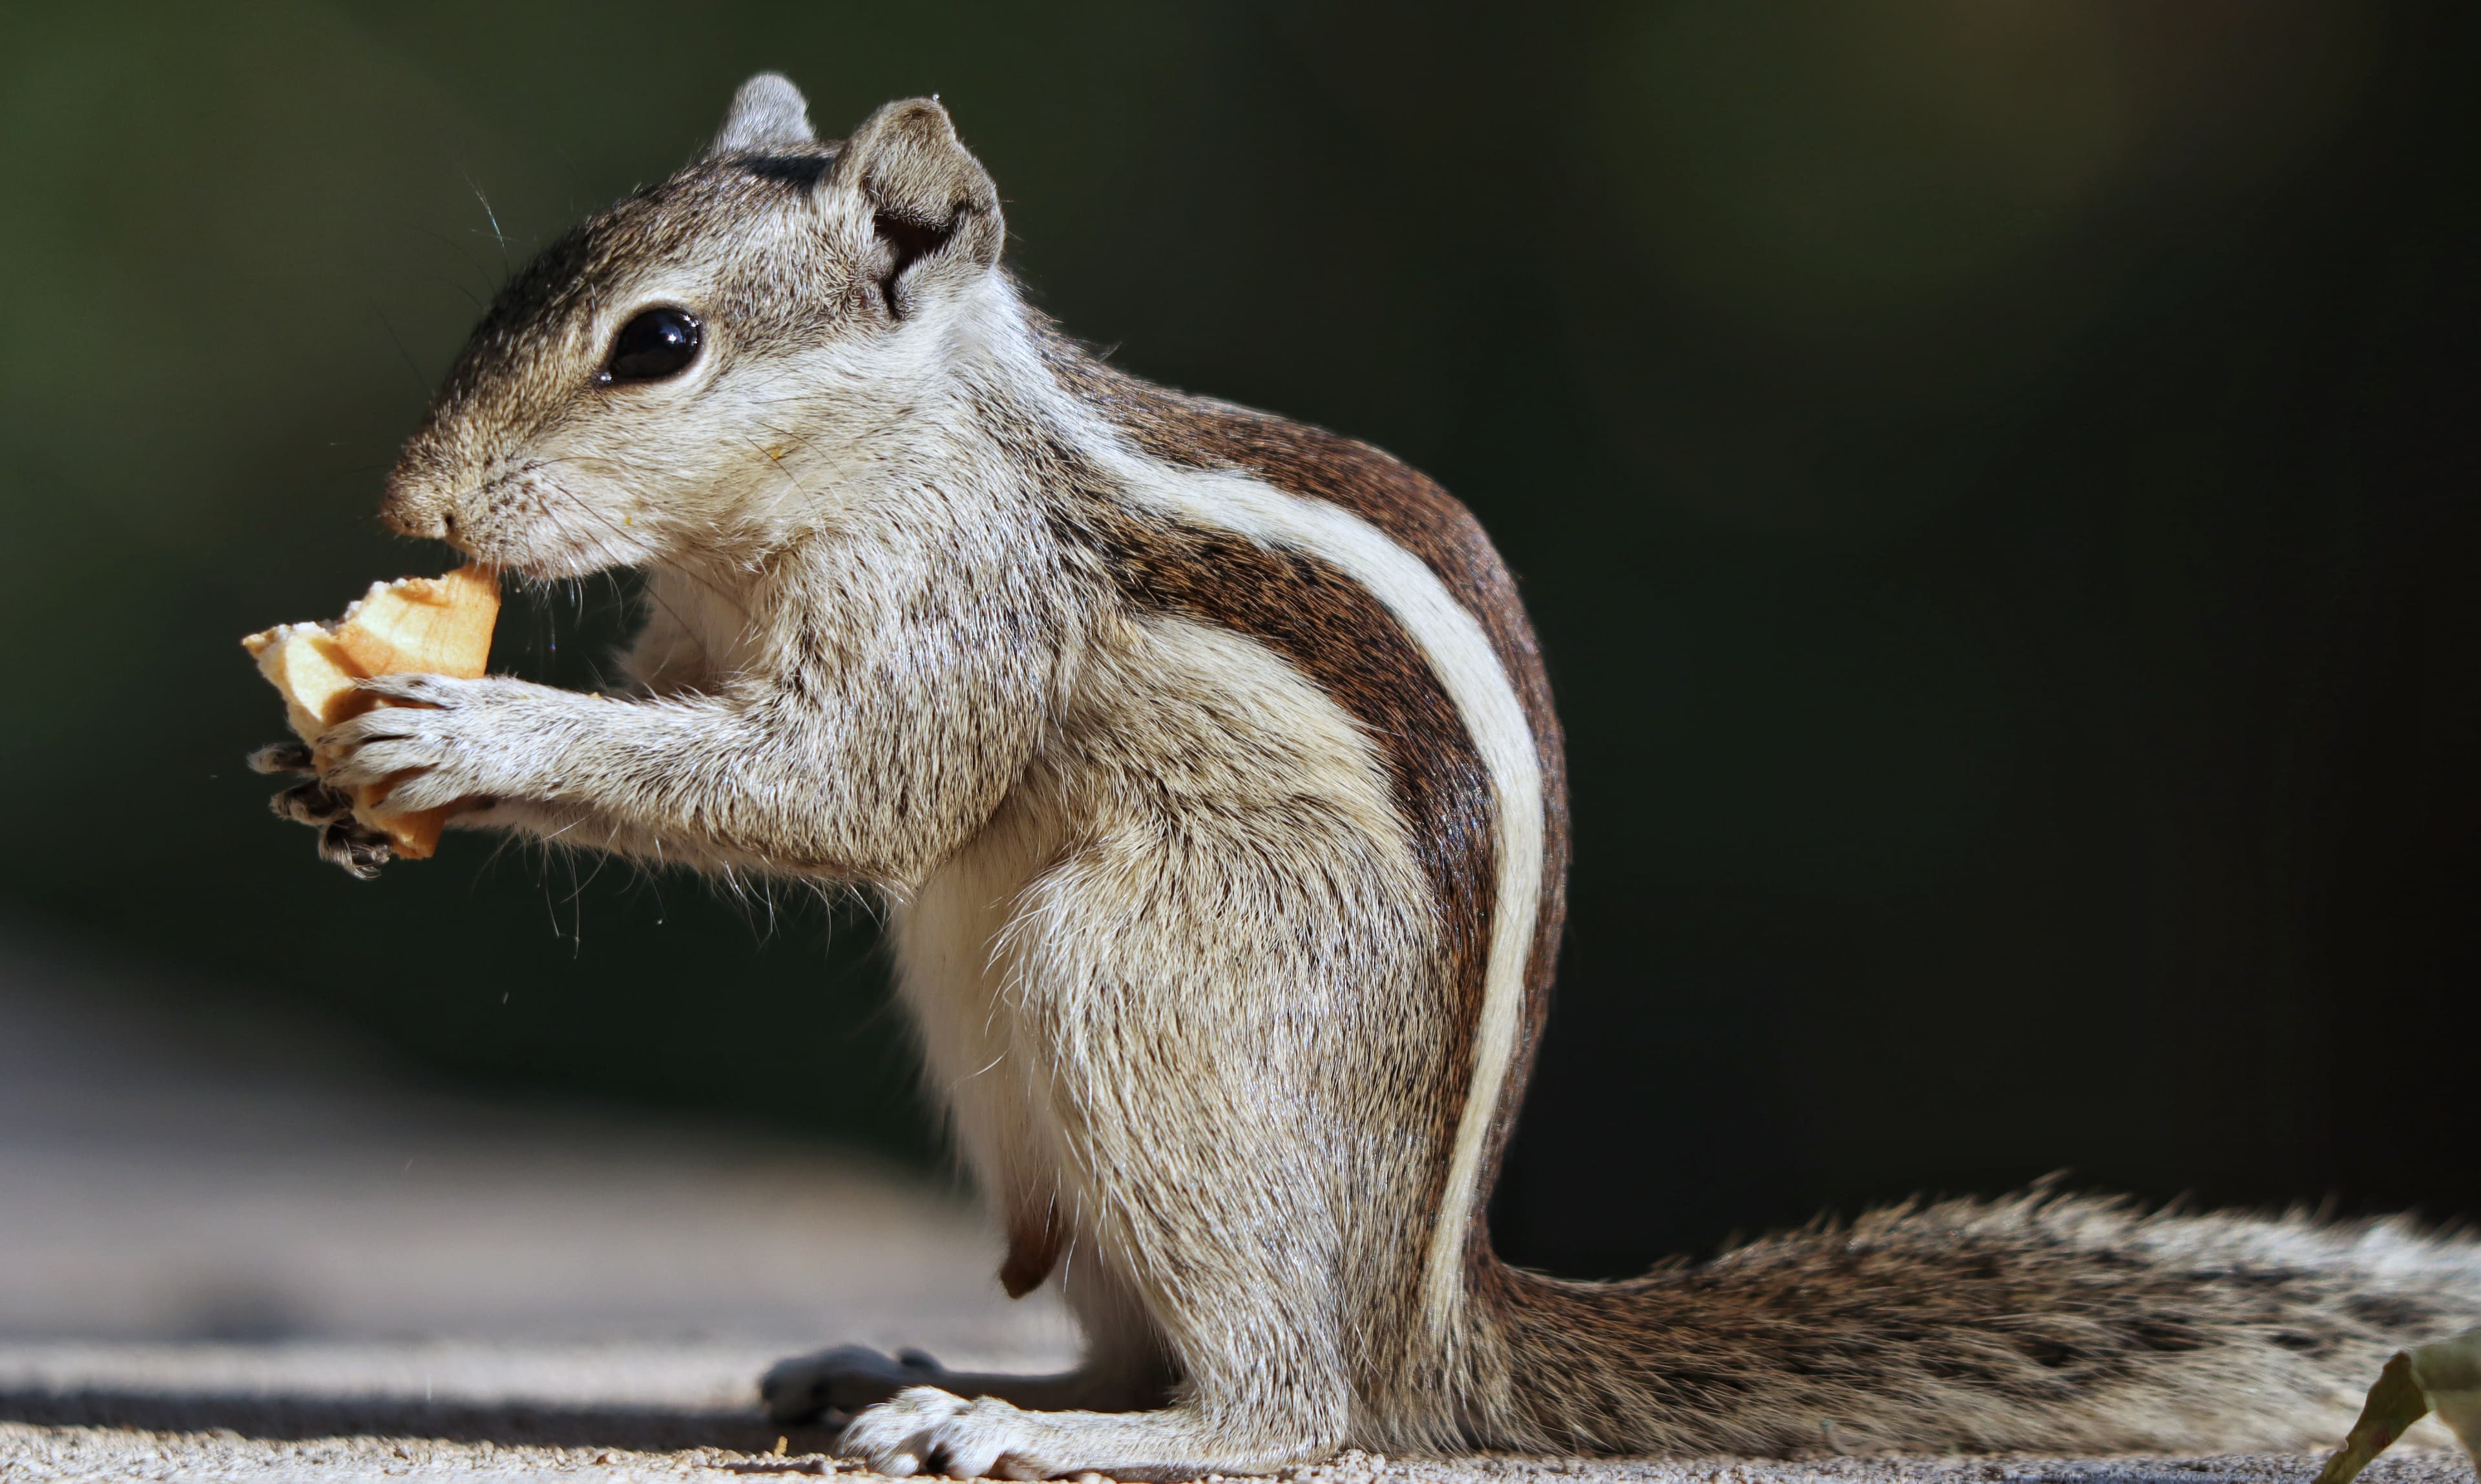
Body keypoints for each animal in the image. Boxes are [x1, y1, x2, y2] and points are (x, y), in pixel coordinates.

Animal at [259, 75, 2481, 1478]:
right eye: (536, 275)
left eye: (657, 346)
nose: (410, 504)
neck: (880, 455)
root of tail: (1436, 1328)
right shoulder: (703, 632)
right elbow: (702, 719)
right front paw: (332, 772)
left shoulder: (960, 612)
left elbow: (846, 793)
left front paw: (466, 729)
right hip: (1016, 1069)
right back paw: (917, 1366)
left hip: (1137, 991)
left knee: (1280, 1408)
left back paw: (1026, 1424)